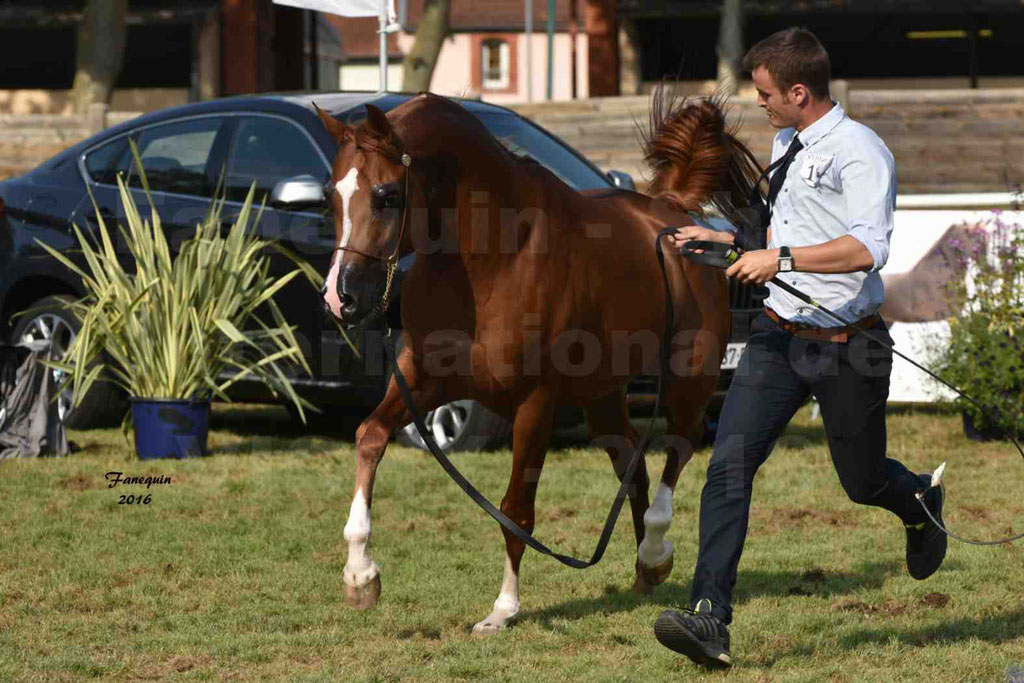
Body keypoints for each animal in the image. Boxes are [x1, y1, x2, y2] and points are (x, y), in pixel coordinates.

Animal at [317, 90, 761, 634]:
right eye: (330, 196)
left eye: (386, 195)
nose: (341, 297)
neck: (492, 259)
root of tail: (673, 211)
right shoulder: (425, 382)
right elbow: (370, 437)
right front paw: (360, 576)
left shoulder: (534, 403)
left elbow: (516, 510)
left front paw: (503, 609)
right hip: (602, 396)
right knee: (631, 462)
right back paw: (646, 572)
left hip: (689, 377)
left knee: (678, 446)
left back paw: (656, 550)